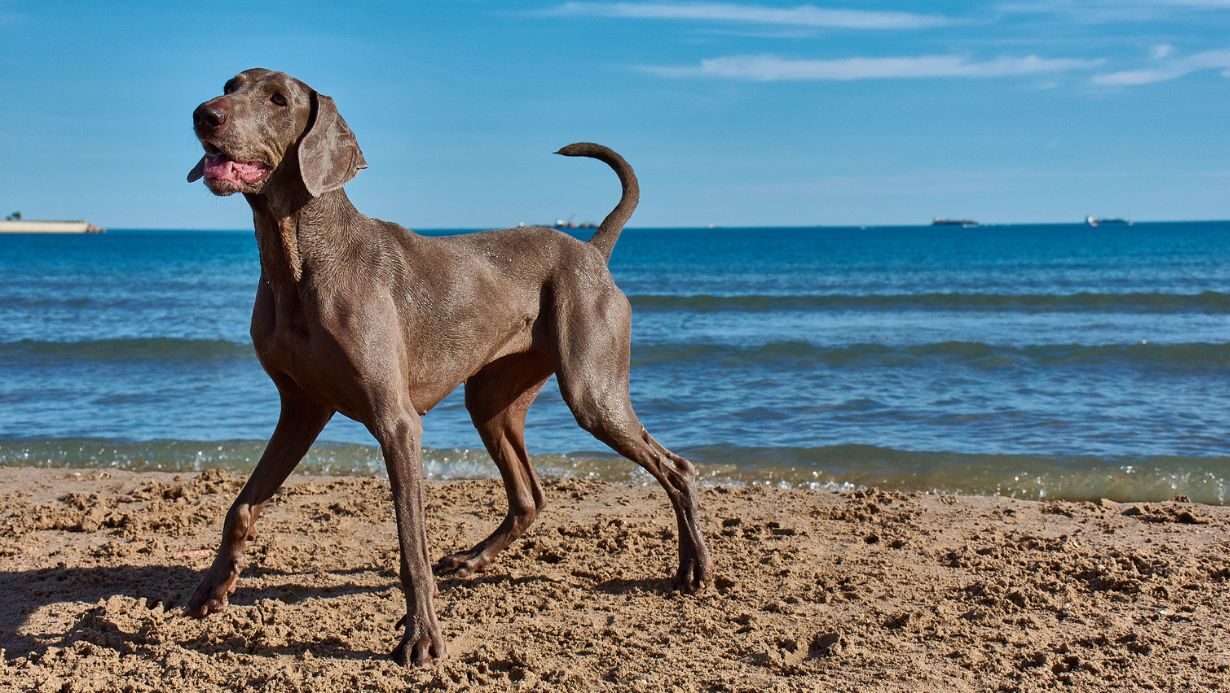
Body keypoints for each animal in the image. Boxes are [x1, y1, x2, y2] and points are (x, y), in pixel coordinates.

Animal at [186, 69, 718, 664]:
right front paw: (212, 589)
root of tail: (590, 251)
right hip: (491, 400)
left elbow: (410, 543)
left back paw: (694, 567)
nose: (204, 114)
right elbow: (241, 506)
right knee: (529, 496)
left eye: (278, 99)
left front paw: (420, 636)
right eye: (230, 84)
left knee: (676, 467)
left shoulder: (396, 423)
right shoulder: (300, 410)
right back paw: (471, 560)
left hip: (591, 389)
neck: (299, 258)